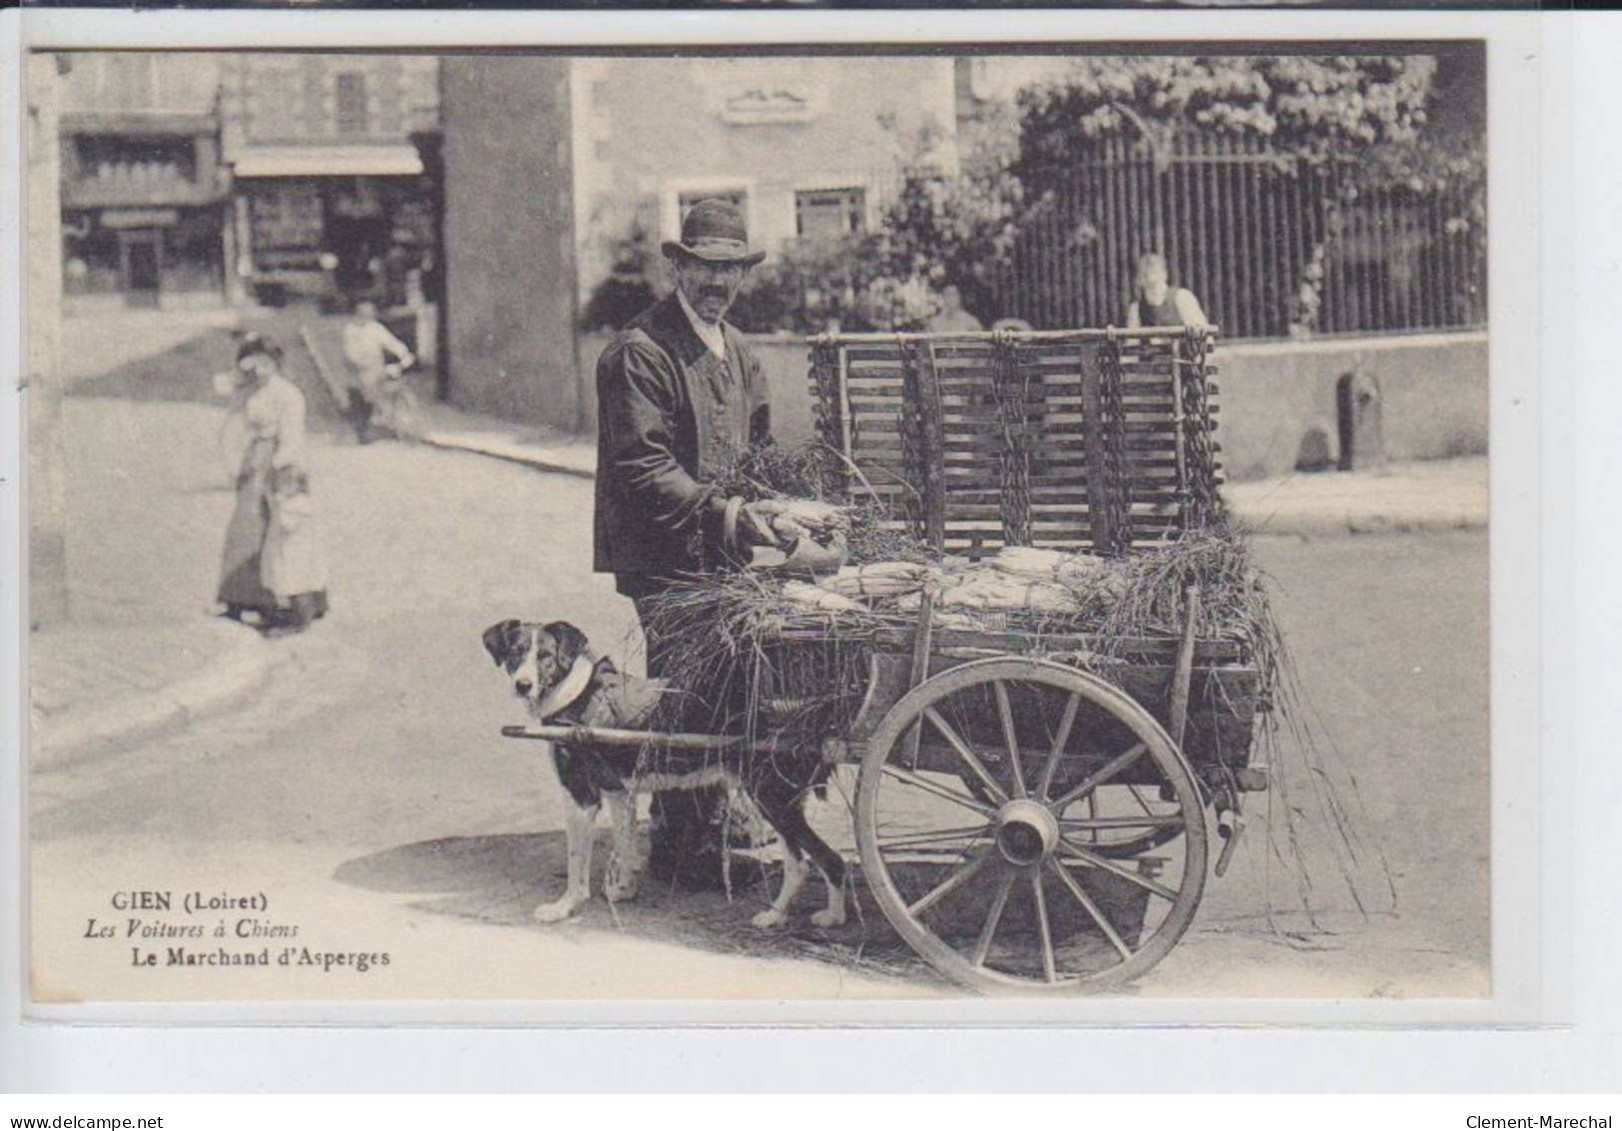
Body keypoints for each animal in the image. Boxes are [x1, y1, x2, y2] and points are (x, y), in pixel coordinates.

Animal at [483, 616, 849, 928]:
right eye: (515, 654)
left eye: (545, 655)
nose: (523, 685)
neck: (575, 694)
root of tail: (804, 711)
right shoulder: (618, 791)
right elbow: (626, 846)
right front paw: (624, 890)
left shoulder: (580, 796)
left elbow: (576, 864)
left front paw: (563, 907)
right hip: (775, 799)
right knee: (800, 862)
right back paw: (781, 916)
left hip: (770, 796)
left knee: (824, 859)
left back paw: (828, 917)